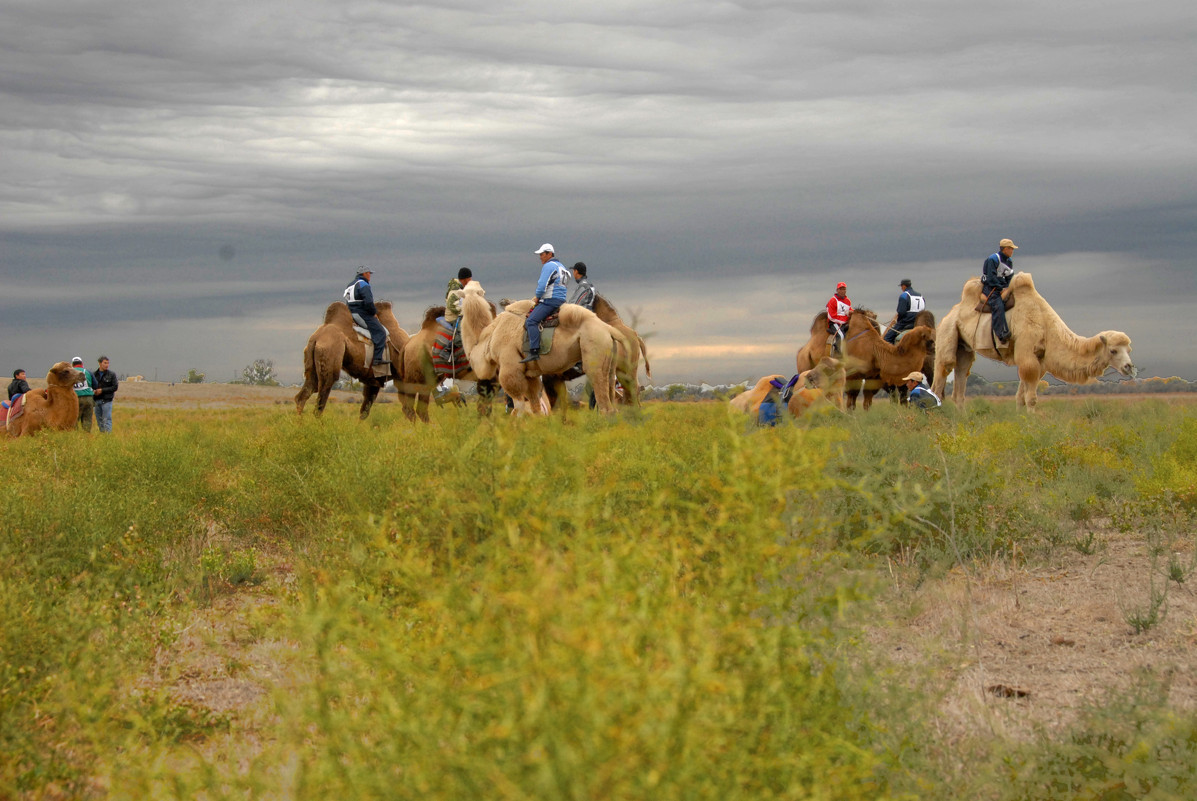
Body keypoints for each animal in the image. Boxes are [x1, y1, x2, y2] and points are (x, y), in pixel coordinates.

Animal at [457, 281, 622, 416]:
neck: (488, 338)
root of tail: (609, 329)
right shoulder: (531, 375)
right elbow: (536, 407)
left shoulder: (510, 367)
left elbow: (518, 408)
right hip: (610, 363)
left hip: (594, 353)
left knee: (604, 405)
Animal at [928, 275, 1134, 411]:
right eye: (1114, 350)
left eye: (1129, 349)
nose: (1129, 367)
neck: (1046, 325)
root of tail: (950, 313)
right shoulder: (1027, 356)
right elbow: (1031, 398)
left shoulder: (1039, 361)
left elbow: (1021, 397)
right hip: (947, 332)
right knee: (941, 376)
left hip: (964, 347)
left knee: (961, 378)